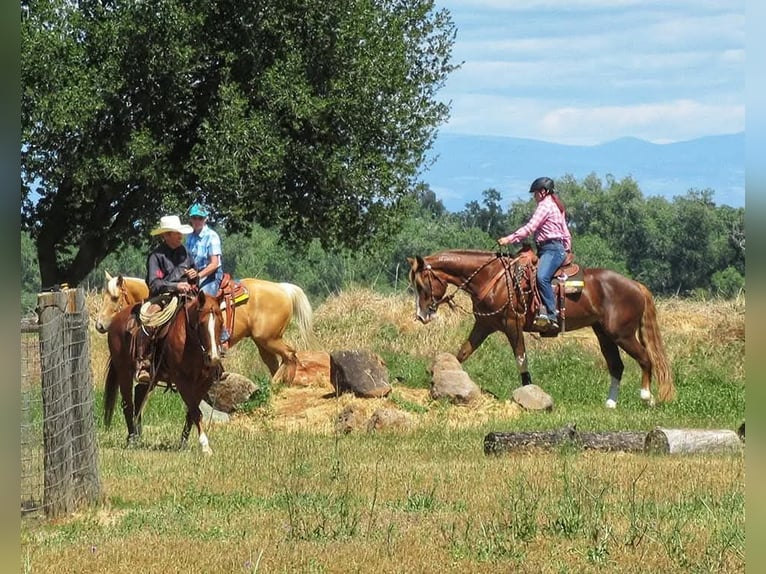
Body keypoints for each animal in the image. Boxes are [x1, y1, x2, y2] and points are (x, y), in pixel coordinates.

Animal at [94, 272, 316, 384]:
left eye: (114, 297)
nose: (99, 325)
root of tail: (283, 288)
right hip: (263, 342)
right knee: (277, 362)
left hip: (269, 338)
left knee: (290, 355)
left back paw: (279, 385)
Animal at [102, 292, 224, 454]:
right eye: (202, 323)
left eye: (221, 322)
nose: (214, 357)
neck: (190, 341)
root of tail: (115, 320)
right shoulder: (182, 381)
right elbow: (196, 411)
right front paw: (205, 446)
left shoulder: (204, 382)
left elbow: (191, 413)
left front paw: (183, 443)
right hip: (123, 372)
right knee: (128, 404)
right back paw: (132, 438)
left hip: (151, 378)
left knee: (139, 395)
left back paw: (138, 435)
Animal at [412, 251, 676, 410]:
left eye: (421, 284)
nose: (421, 316)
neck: (493, 279)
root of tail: (636, 285)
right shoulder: (484, 325)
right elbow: (463, 353)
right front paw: (445, 379)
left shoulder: (511, 325)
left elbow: (521, 358)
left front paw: (528, 392)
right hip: (604, 334)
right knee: (617, 366)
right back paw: (610, 403)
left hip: (622, 334)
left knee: (646, 359)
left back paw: (646, 397)